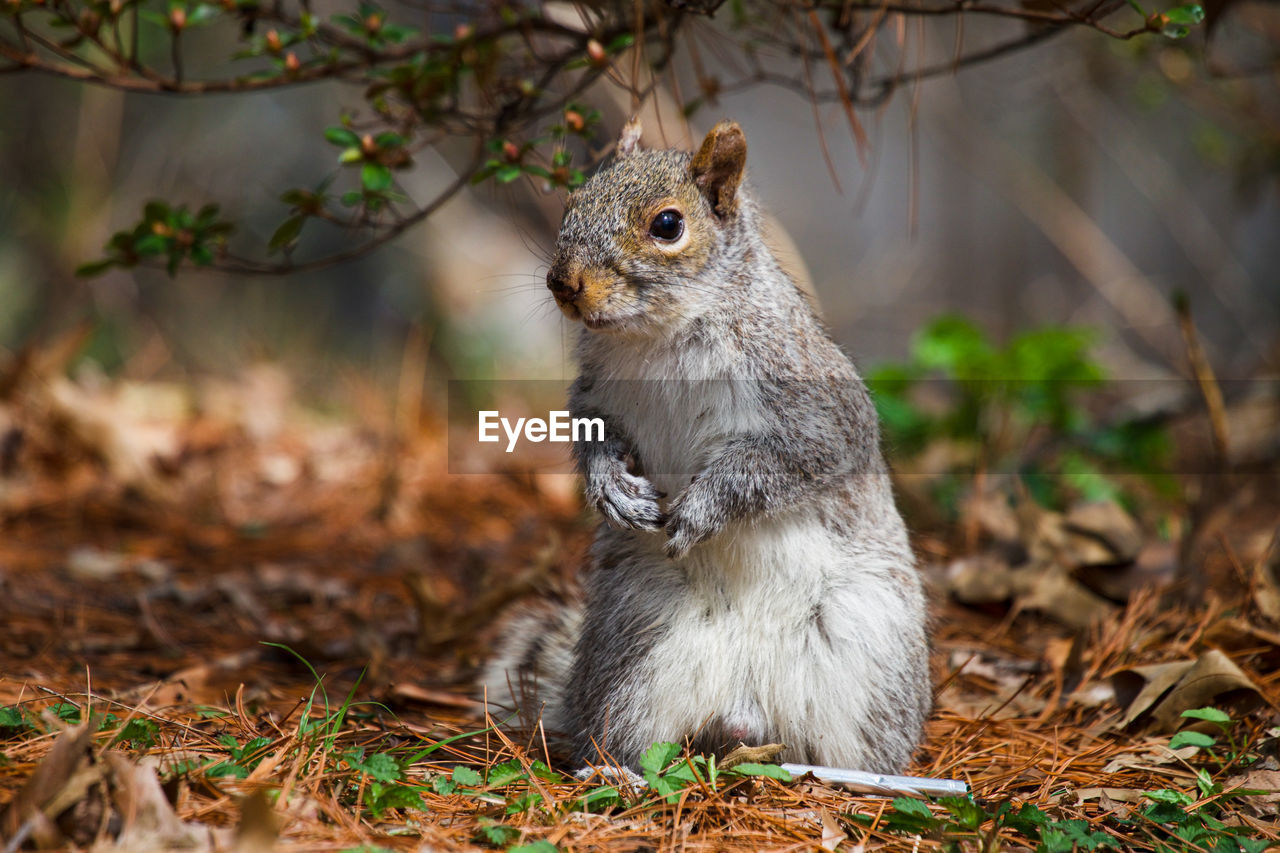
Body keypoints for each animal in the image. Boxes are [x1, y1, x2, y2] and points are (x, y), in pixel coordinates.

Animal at [481, 117, 931, 768]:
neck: (658, 336)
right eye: (572, 201)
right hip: (633, 645)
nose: (563, 284)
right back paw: (617, 772)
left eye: (668, 225)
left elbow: (794, 457)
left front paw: (703, 508)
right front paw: (610, 488)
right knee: (624, 730)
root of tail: (749, 709)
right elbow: (593, 436)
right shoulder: (595, 395)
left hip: (871, 653)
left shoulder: (817, 408)